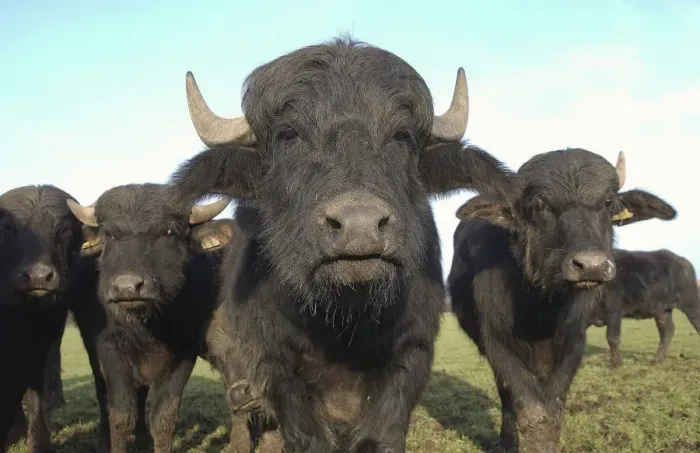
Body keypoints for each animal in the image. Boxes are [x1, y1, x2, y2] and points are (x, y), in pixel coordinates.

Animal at [0, 185, 86, 453]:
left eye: (65, 231)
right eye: (7, 228)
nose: (38, 276)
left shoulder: (45, 340)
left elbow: (34, 391)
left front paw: (38, 441)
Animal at [66, 183, 271, 453]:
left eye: (170, 231)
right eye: (108, 235)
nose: (127, 287)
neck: (149, 328)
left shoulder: (184, 356)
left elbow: (164, 420)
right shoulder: (110, 349)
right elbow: (121, 417)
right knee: (103, 395)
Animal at [168, 36, 517, 453]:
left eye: (402, 136)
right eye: (289, 134)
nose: (359, 226)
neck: (342, 328)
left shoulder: (413, 352)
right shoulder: (273, 362)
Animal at [447, 149, 677, 453]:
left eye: (607, 201)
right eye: (539, 204)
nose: (591, 266)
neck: (539, 309)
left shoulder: (573, 341)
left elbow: (553, 410)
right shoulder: (496, 342)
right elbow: (531, 411)